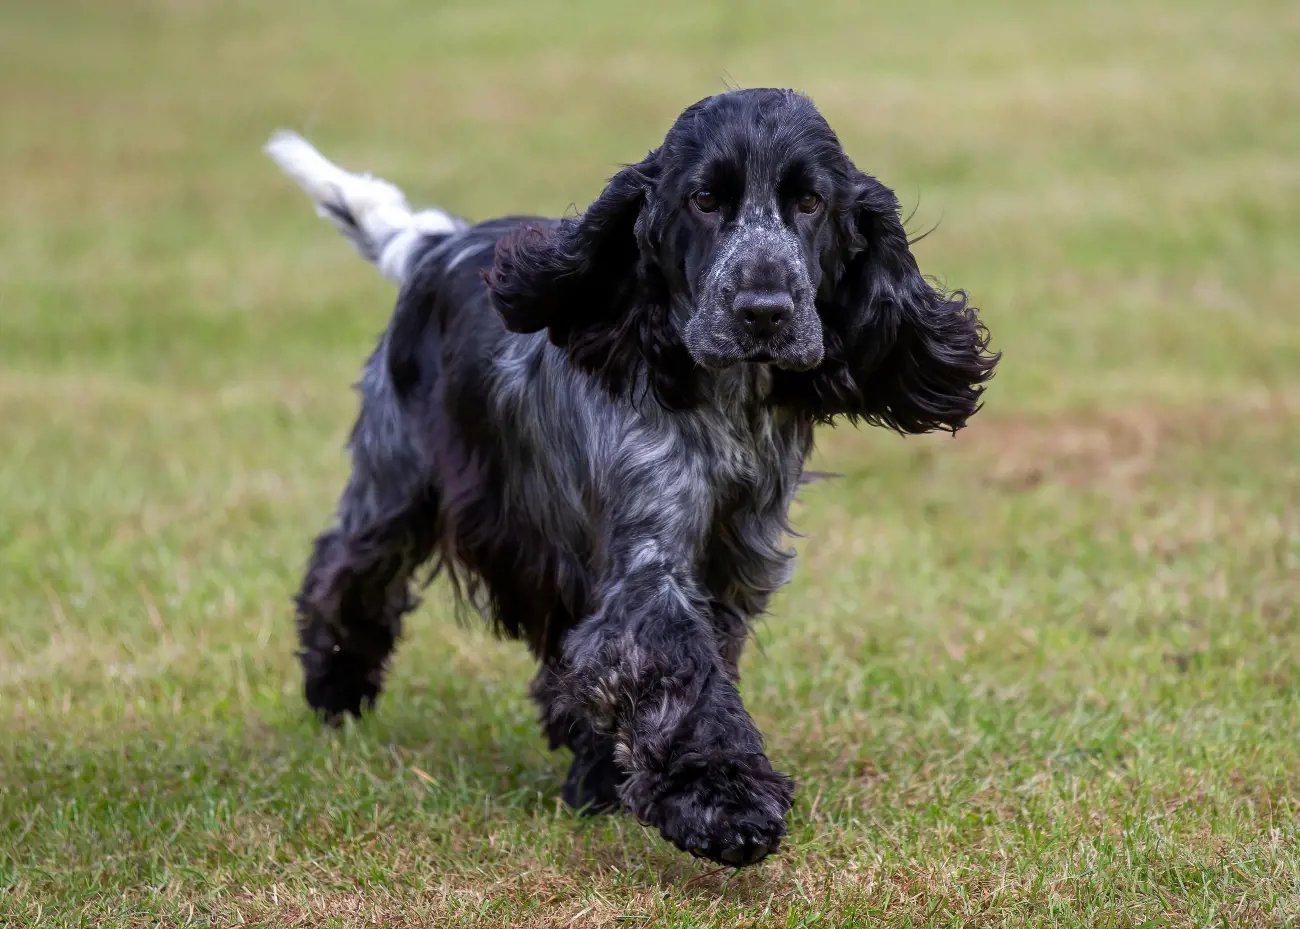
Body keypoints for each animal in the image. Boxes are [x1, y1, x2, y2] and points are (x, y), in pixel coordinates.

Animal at [263, 90, 993, 867]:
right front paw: (726, 804)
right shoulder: (650, 560)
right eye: (704, 199)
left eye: (810, 202)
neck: (725, 404)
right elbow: (673, 668)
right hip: (399, 478)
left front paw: (619, 782)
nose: (763, 311)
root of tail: (434, 245)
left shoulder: (732, 559)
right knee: (346, 568)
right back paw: (336, 691)